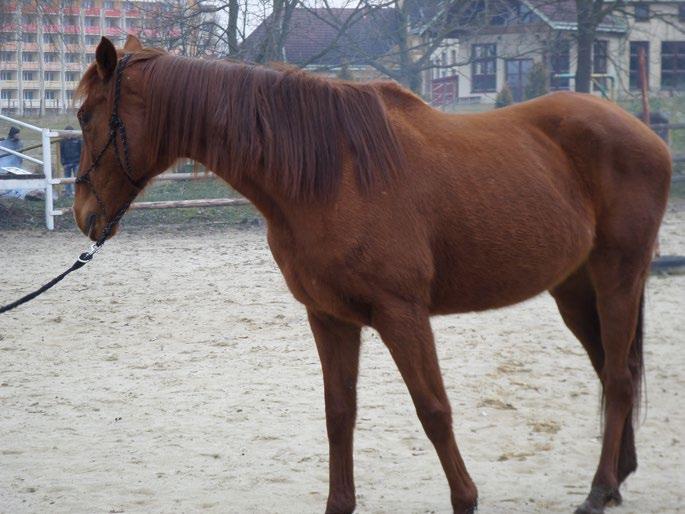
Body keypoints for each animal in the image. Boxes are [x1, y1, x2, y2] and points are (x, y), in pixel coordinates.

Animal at [73, 37, 668, 512]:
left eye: (82, 115)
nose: (83, 215)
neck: (332, 173)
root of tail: (648, 134)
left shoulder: (402, 314)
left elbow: (434, 411)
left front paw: (466, 499)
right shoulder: (329, 318)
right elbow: (339, 414)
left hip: (618, 275)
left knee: (618, 378)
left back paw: (598, 490)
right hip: (574, 289)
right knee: (610, 369)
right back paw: (617, 480)